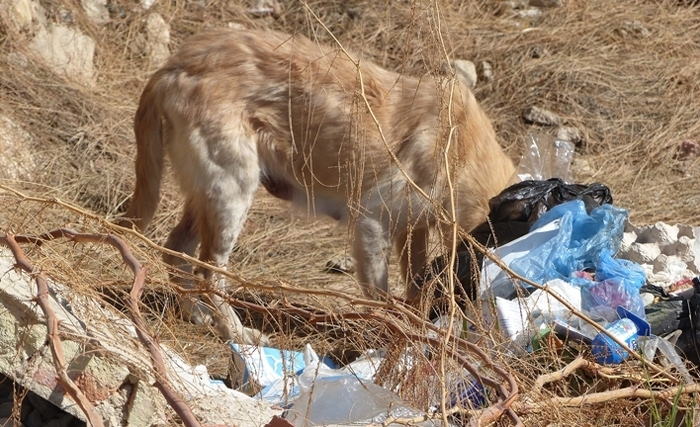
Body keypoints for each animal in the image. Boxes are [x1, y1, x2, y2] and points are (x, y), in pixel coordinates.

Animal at [119, 28, 516, 344]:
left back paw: (196, 314)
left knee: (176, 250)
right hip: (231, 193)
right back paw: (237, 332)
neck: (461, 151)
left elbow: (416, 289)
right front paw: (389, 337)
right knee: (208, 272)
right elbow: (379, 297)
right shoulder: (370, 220)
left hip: (208, 195)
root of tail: (172, 67)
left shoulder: (412, 230)